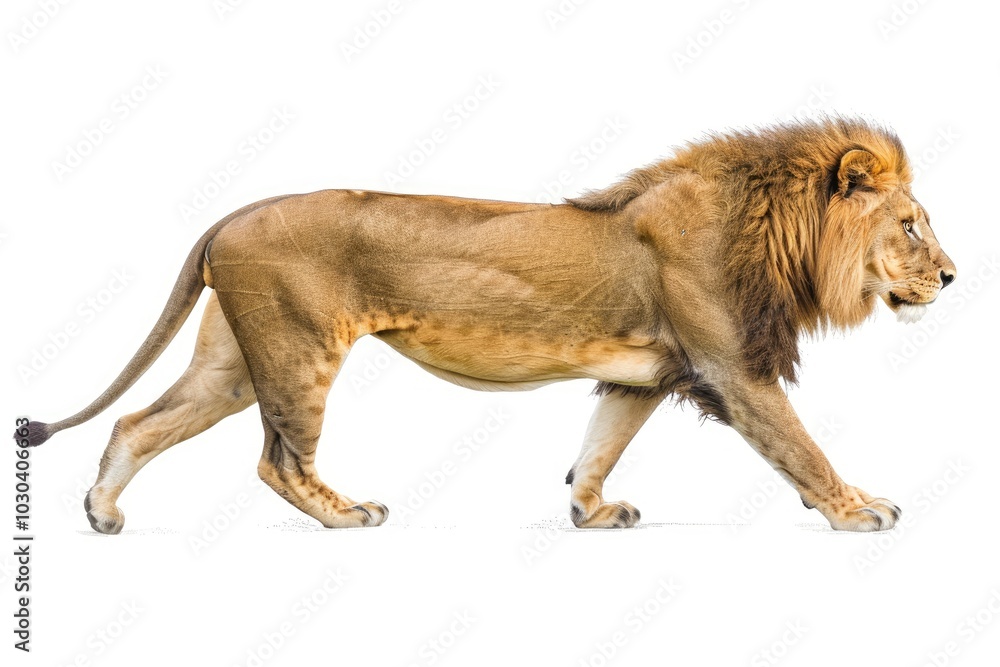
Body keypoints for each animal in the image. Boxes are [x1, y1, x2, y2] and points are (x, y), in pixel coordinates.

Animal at [16, 117, 955, 534]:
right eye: (912, 225)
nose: (952, 276)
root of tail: (231, 214)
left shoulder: (645, 372)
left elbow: (600, 443)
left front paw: (590, 512)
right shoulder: (734, 369)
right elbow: (802, 447)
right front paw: (857, 509)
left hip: (236, 360)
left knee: (139, 422)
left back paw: (102, 513)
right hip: (298, 350)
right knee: (277, 459)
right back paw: (347, 514)